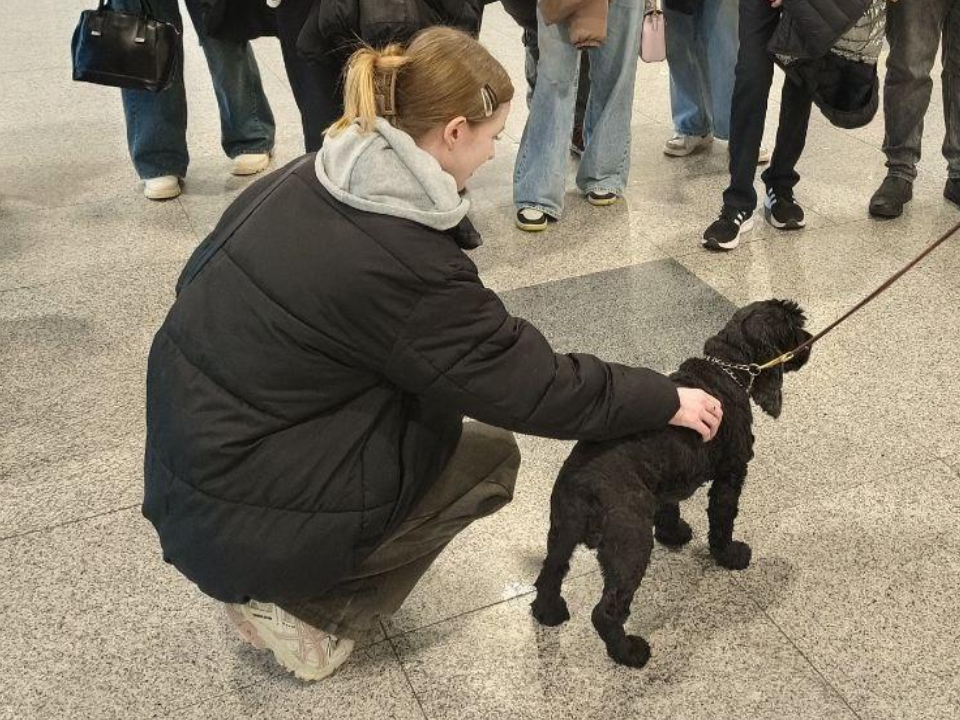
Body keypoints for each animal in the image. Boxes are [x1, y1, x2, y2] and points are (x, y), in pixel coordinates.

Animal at [528, 300, 812, 668]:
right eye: (794, 328)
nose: (810, 339)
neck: (728, 368)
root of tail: (582, 484)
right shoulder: (731, 473)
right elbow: (723, 519)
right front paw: (729, 554)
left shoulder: (669, 475)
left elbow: (669, 507)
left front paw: (673, 533)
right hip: (630, 544)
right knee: (605, 611)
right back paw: (629, 652)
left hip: (562, 532)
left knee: (550, 572)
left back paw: (548, 612)